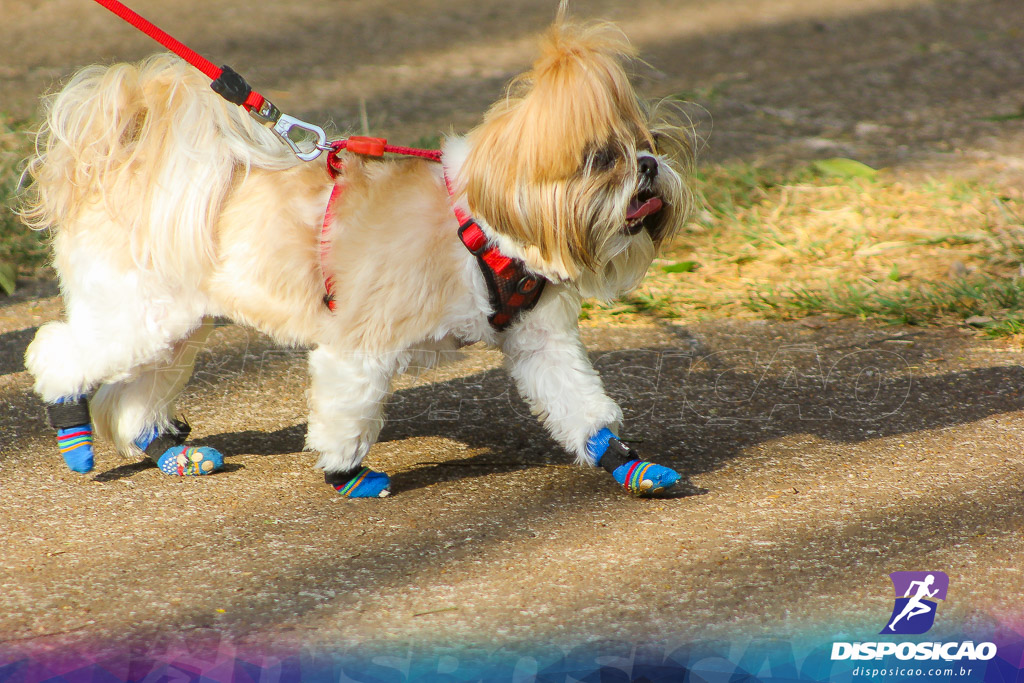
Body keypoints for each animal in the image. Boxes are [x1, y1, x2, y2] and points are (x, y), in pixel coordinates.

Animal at [22, 10, 696, 499]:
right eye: (600, 159)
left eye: (651, 143)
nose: (647, 166)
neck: (477, 227)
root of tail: (119, 166)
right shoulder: (359, 346)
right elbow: (348, 416)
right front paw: (346, 475)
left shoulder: (541, 344)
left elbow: (582, 407)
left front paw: (627, 464)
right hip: (137, 316)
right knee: (60, 356)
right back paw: (72, 430)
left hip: (175, 329)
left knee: (130, 397)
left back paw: (170, 451)